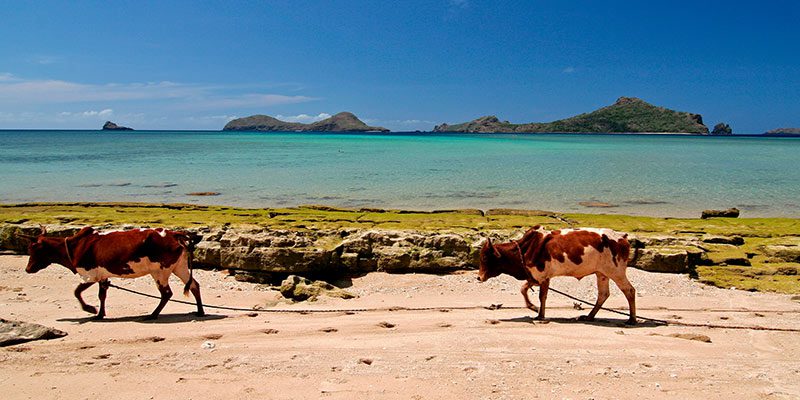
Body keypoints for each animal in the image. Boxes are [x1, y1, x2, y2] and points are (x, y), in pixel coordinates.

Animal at [21, 226, 204, 320]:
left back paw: (152, 315)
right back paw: (200, 311)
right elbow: (102, 295)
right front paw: (100, 314)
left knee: (166, 293)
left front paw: (90, 309)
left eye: (33, 249)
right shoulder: (103, 276)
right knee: (194, 285)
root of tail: (174, 234)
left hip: (160, 272)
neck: (75, 247)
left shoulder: (90, 275)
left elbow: (77, 292)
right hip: (179, 267)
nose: (27, 269)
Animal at [478, 225, 636, 325]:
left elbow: (542, 296)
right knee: (603, 294)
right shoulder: (535, 276)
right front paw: (533, 307)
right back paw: (589, 316)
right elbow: (523, 289)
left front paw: (540, 315)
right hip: (602, 274)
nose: (479, 277)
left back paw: (632, 320)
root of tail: (622, 237)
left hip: (616, 272)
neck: (524, 249)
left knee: (629, 290)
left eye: (485, 257)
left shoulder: (543, 277)